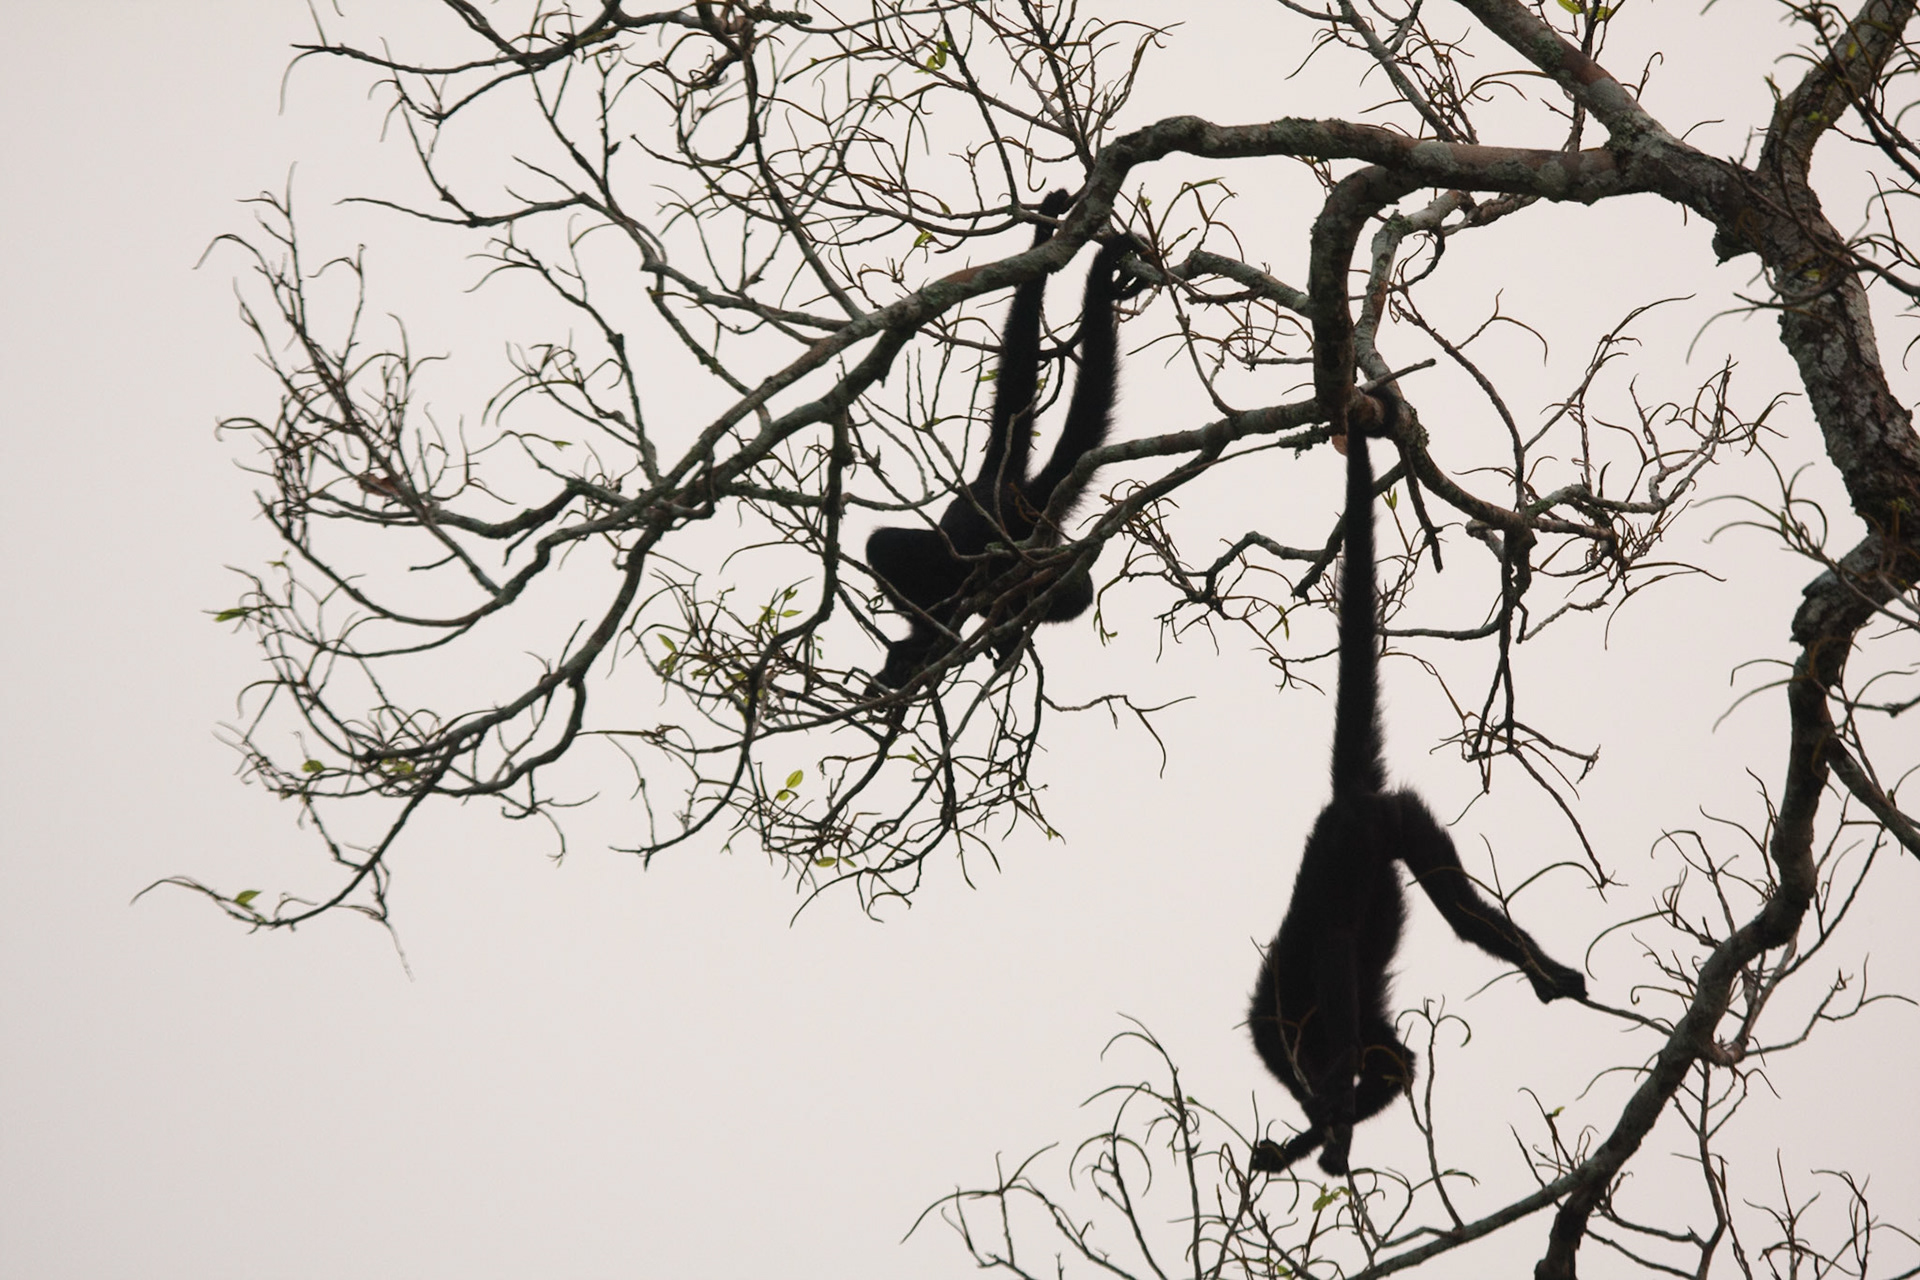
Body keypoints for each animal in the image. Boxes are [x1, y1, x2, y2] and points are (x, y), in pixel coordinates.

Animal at [1246, 394, 1587, 1178]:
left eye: (1301, 1061)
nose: (1309, 1084)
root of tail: (1344, 802)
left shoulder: (1309, 1001)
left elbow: (1350, 995)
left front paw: (1327, 1127)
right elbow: (1397, 1060)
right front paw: (1316, 1136)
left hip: (1359, 846)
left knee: (1358, 934)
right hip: (1405, 819)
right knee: (1461, 910)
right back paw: (1549, 973)